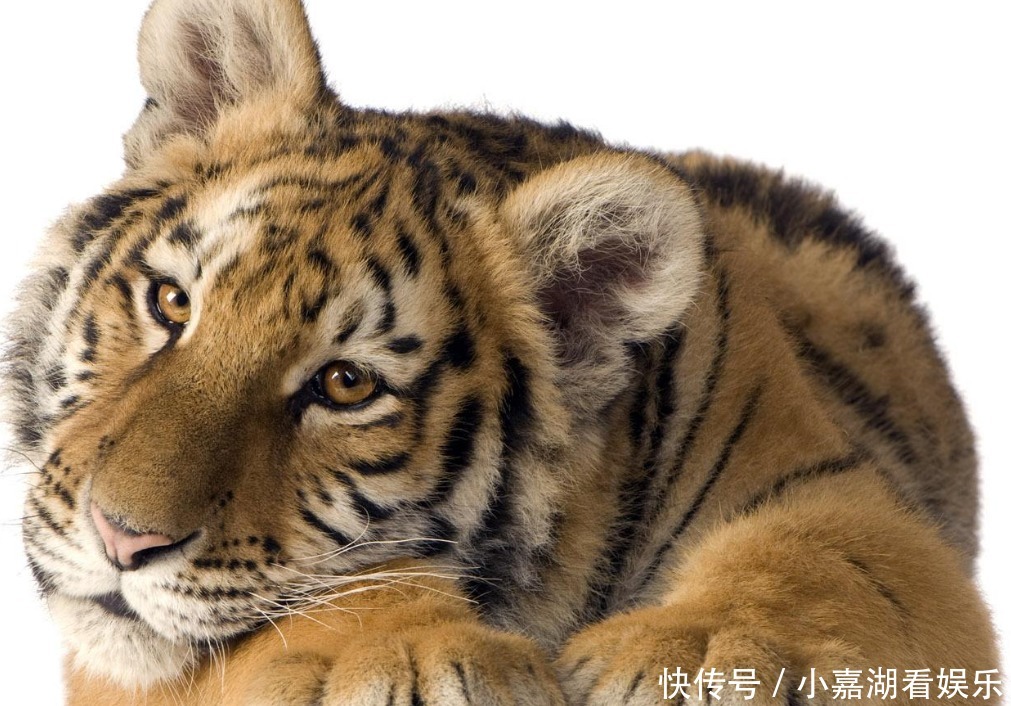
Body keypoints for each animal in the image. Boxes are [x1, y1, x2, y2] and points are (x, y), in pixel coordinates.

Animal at [4, 0, 999, 704]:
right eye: (171, 302)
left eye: (346, 383)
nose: (121, 539)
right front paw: (397, 655)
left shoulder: (847, 498)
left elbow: (824, 564)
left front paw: (701, 653)